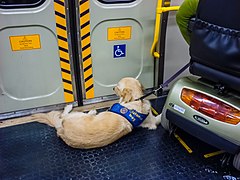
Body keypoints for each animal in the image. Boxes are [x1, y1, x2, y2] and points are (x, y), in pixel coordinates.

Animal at [31, 77, 160, 149]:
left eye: (117, 87)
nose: (113, 88)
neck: (137, 100)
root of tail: (61, 130)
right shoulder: (151, 122)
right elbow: (157, 119)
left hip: (77, 115)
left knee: (64, 115)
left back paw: (78, 108)